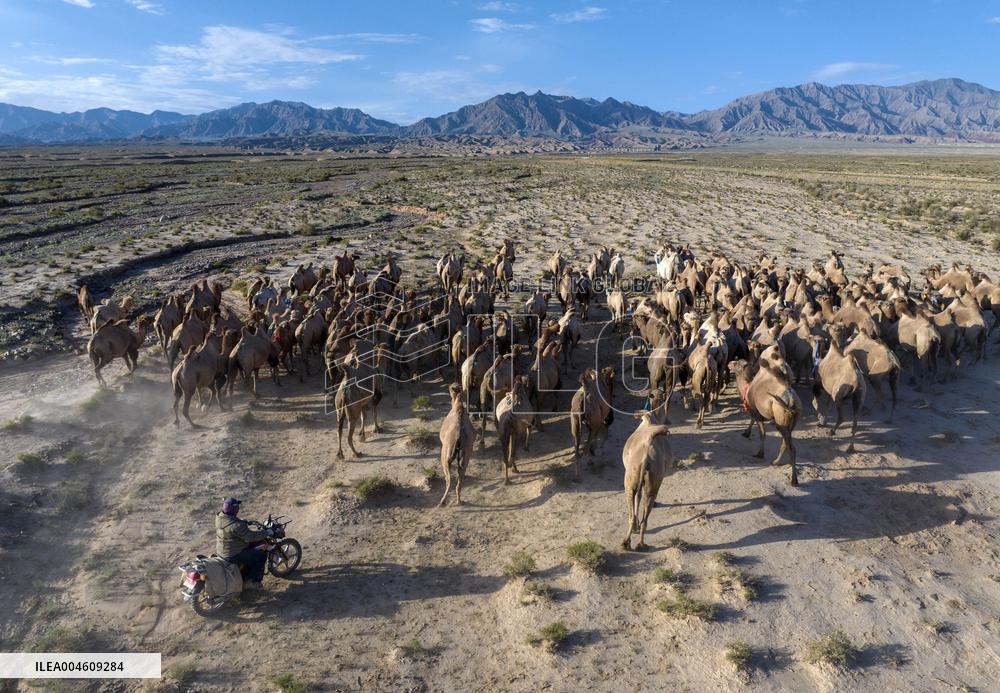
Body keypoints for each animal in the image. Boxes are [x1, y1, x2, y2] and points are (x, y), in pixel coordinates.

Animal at [621, 390, 673, 551]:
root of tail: (645, 457)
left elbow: (637, 500)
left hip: (631, 481)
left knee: (631, 515)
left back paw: (628, 542)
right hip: (651, 483)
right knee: (644, 510)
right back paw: (639, 543)